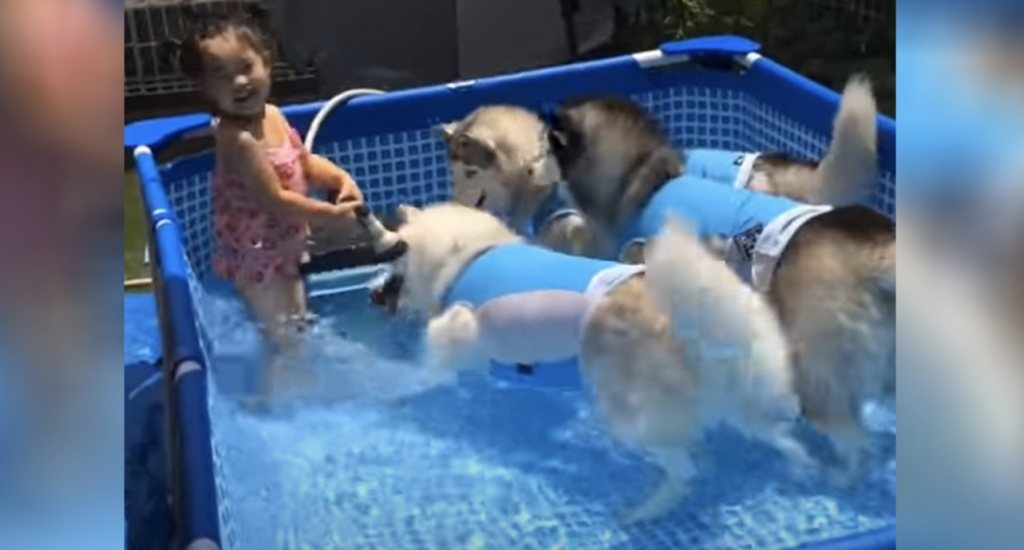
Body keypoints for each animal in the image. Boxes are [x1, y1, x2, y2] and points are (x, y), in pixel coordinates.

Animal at [364, 200, 811, 522]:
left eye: (392, 258)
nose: (370, 290)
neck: (468, 257)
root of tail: (704, 328)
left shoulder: (456, 329)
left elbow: (433, 361)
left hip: (627, 416)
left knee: (682, 470)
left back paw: (645, 509)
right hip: (743, 401)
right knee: (777, 437)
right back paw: (799, 467)